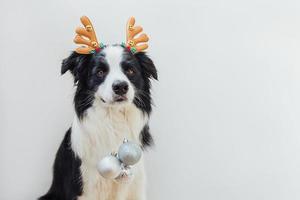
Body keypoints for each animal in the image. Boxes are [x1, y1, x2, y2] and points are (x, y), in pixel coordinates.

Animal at [38, 45, 157, 200]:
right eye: (100, 72)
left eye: (130, 71)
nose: (120, 86)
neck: (113, 119)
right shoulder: (84, 189)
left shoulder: (136, 187)